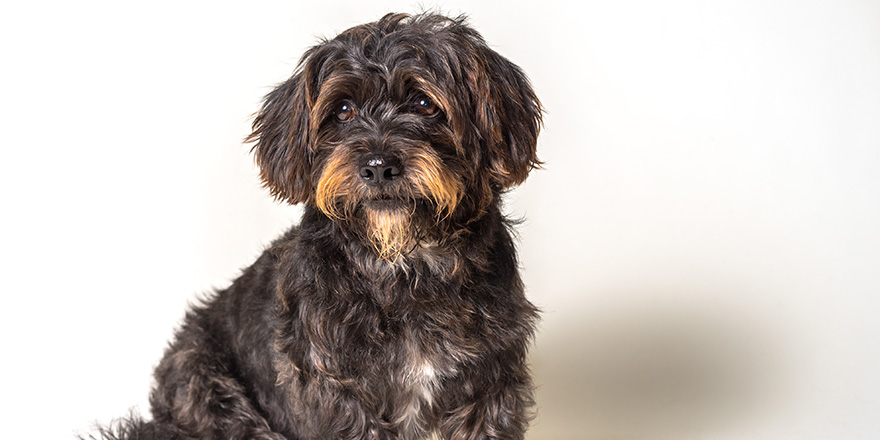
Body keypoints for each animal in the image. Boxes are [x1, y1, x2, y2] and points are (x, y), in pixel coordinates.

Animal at [93, 12, 540, 440]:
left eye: (423, 103)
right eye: (342, 110)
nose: (378, 166)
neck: (402, 265)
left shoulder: (489, 385)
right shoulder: (334, 389)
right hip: (208, 384)